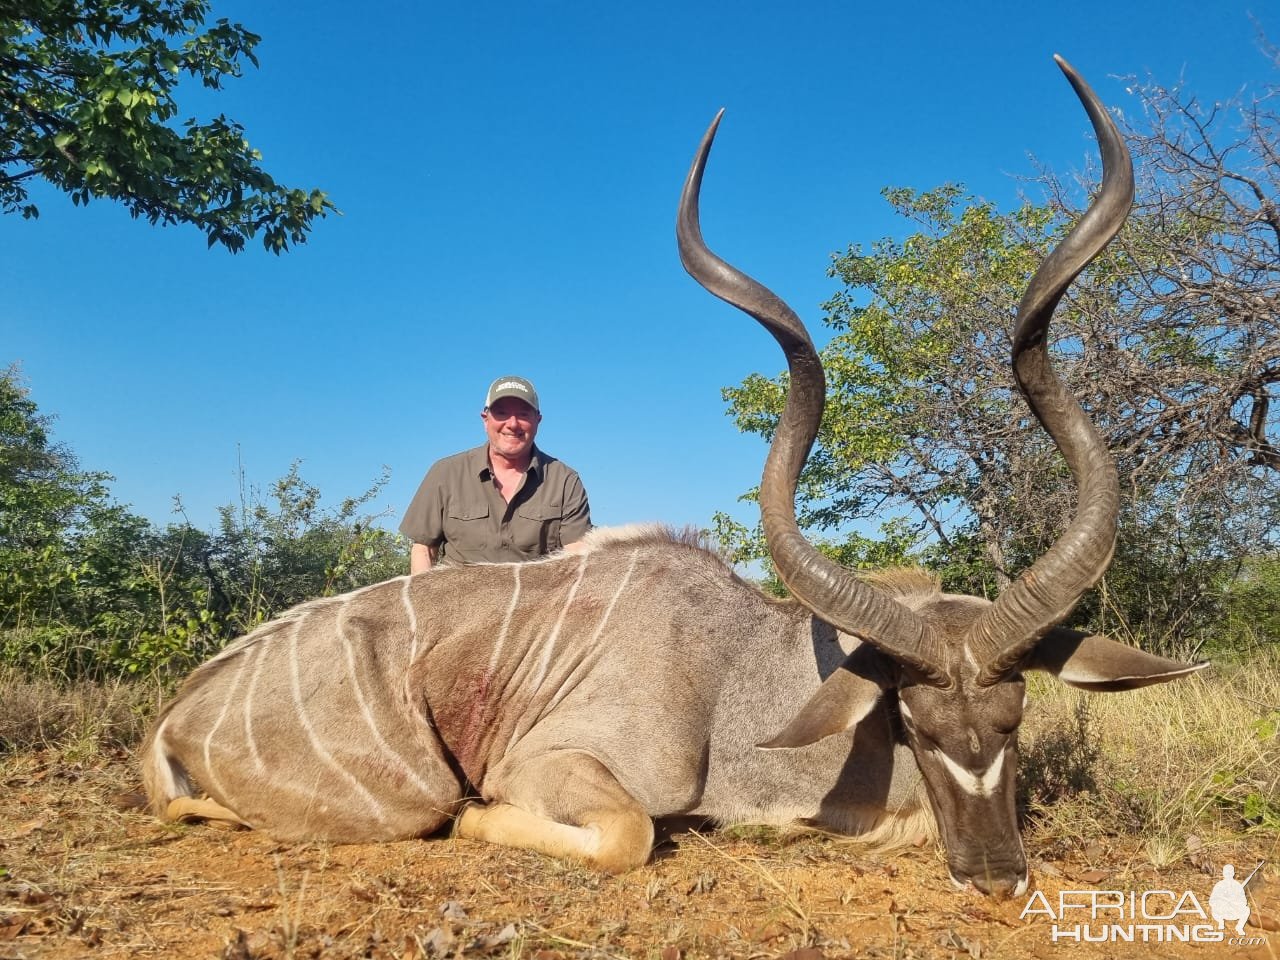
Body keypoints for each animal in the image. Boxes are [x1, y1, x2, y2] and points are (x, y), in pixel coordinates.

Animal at [145, 58, 1203, 901]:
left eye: (1016, 719)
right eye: (912, 718)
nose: (993, 875)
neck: (733, 672)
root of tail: (180, 715)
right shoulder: (565, 766)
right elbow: (627, 832)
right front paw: (482, 819)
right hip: (398, 791)